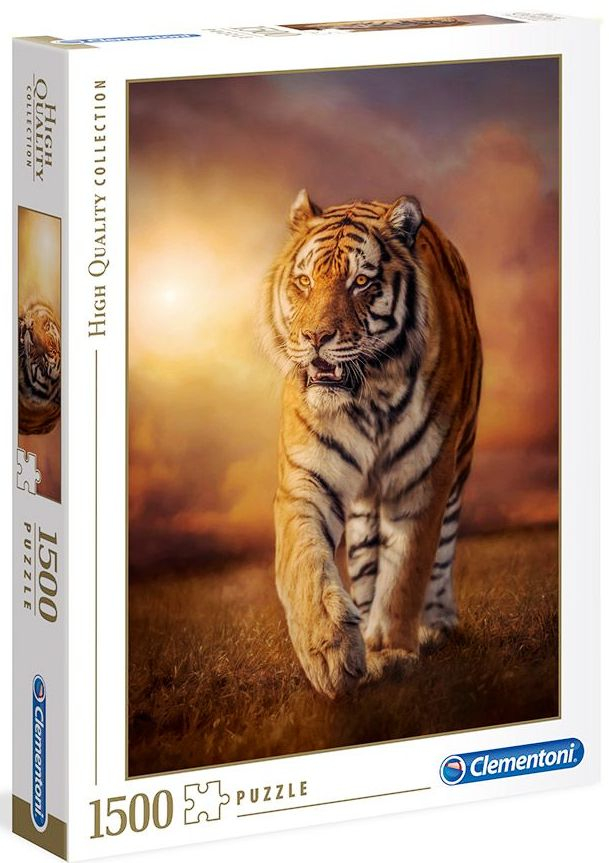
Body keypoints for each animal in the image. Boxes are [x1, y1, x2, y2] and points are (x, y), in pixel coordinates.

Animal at [260, 189, 482, 699]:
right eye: (304, 281)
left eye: (360, 281)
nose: (315, 338)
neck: (370, 395)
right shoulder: (306, 478)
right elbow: (304, 561)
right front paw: (330, 652)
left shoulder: (424, 479)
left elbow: (406, 572)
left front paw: (392, 650)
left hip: (459, 463)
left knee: (442, 552)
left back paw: (436, 623)